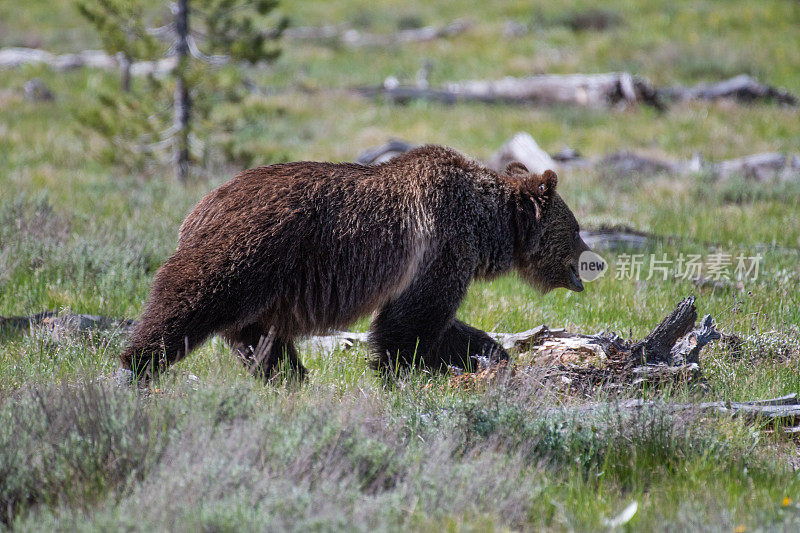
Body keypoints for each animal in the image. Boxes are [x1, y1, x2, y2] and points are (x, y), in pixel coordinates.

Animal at [122, 143, 592, 380]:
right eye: (576, 228)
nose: (586, 265)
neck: (487, 225)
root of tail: (199, 207)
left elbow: (442, 325)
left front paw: (489, 354)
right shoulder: (440, 246)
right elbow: (413, 320)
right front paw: (402, 370)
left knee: (258, 336)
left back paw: (289, 375)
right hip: (246, 251)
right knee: (189, 302)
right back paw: (137, 365)